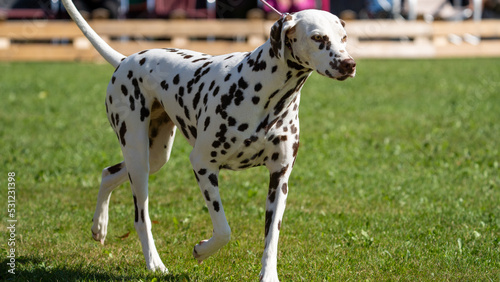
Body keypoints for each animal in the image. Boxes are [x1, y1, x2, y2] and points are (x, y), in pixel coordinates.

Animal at [63, 0, 356, 280]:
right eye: (318, 37)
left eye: (343, 37)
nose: (349, 64)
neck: (265, 91)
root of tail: (126, 59)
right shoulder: (203, 165)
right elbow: (224, 230)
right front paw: (202, 250)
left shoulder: (279, 177)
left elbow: (272, 236)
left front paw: (269, 275)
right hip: (138, 157)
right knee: (141, 217)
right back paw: (154, 263)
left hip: (155, 156)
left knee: (108, 173)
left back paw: (99, 226)